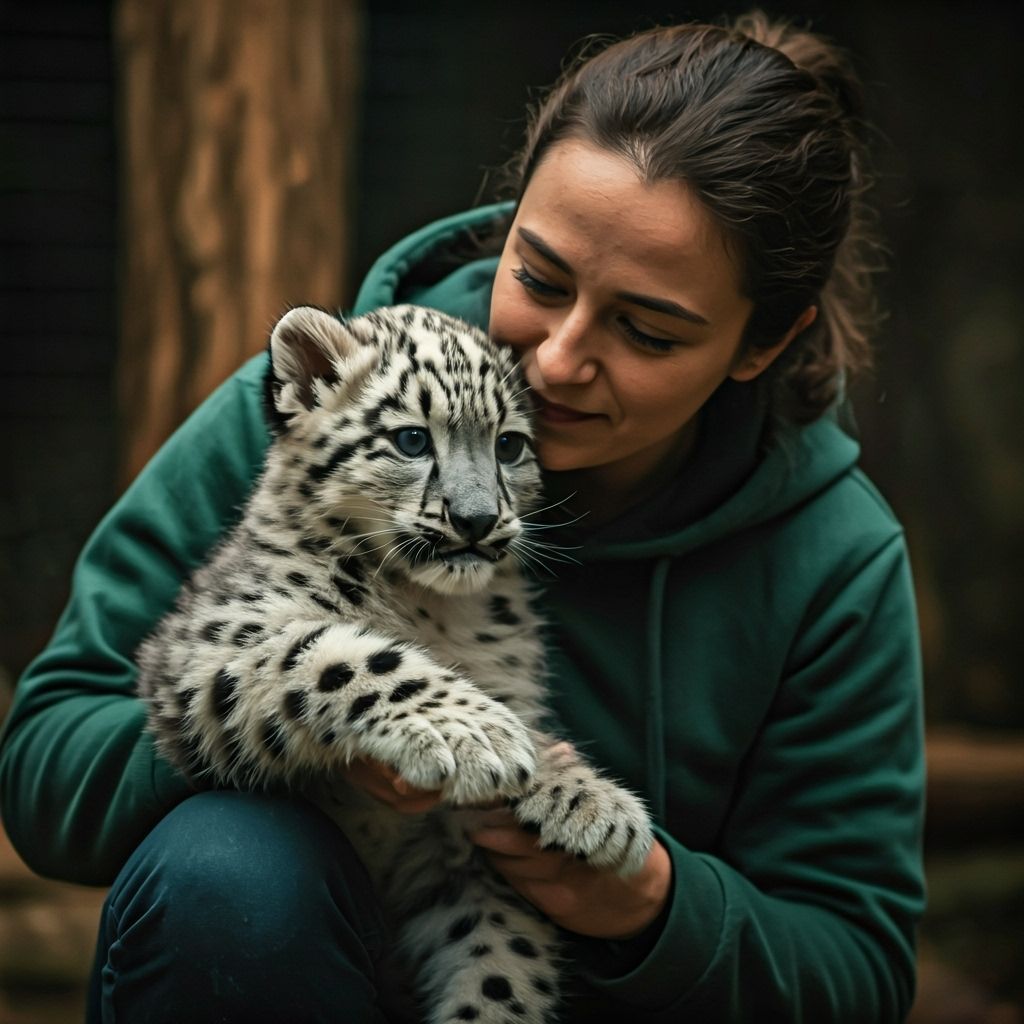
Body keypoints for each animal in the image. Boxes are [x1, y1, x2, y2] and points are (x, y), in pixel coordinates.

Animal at [135, 303, 653, 1024]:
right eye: (411, 440)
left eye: (509, 446)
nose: (477, 519)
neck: (425, 607)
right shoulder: (207, 650)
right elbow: (342, 654)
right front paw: (473, 733)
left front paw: (590, 801)